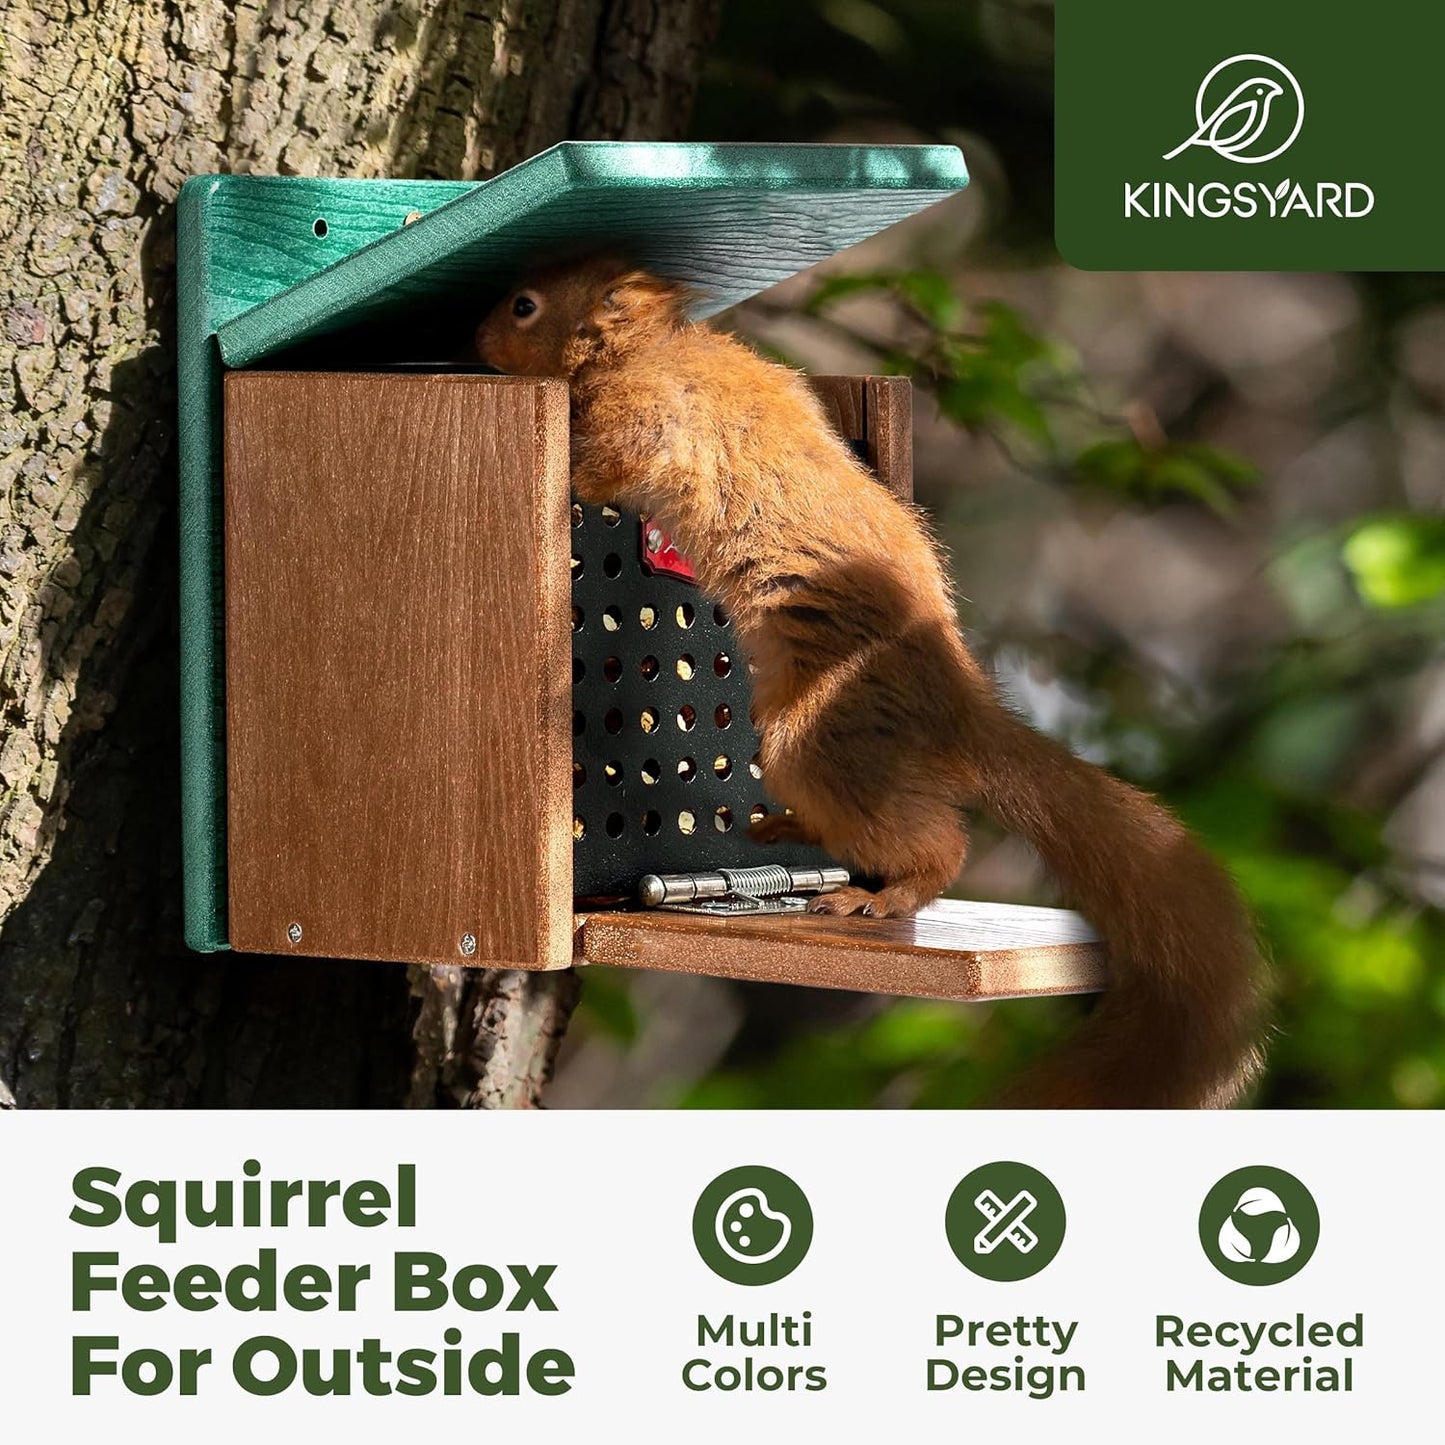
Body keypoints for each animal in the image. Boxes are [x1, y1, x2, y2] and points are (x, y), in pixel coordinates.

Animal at [476, 257, 1267, 1108]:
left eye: (523, 306)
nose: (472, 339)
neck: (646, 348)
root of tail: (956, 702)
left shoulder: (644, 421)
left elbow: (600, 465)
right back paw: (785, 832)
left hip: (818, 734)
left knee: (939, 844)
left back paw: (877, 893)